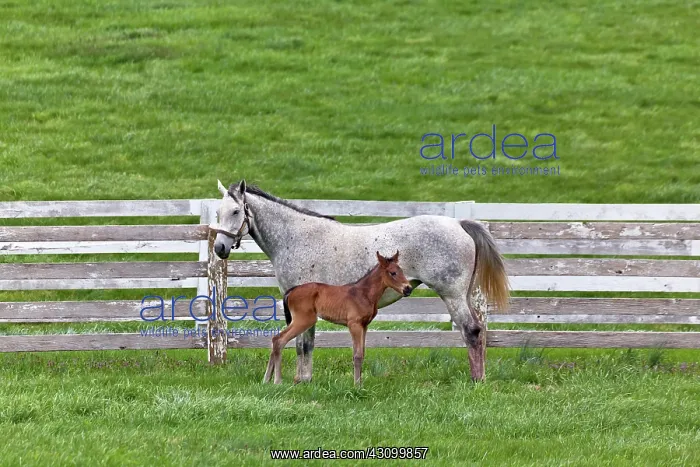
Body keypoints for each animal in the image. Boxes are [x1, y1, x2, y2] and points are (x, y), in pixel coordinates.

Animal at [264, 250, 413, 385]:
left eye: (402, 271)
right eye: (392, 273)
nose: (408, 289)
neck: (363, 294)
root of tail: (292, 291)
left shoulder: (364, 325)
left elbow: (362, 353)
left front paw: (360, 383)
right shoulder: (354, 325)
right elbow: (357, 355)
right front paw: (357, 385)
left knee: (275, 340)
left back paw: (266, 380)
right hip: (304, 320)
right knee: (279, 340)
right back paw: (277, 381)